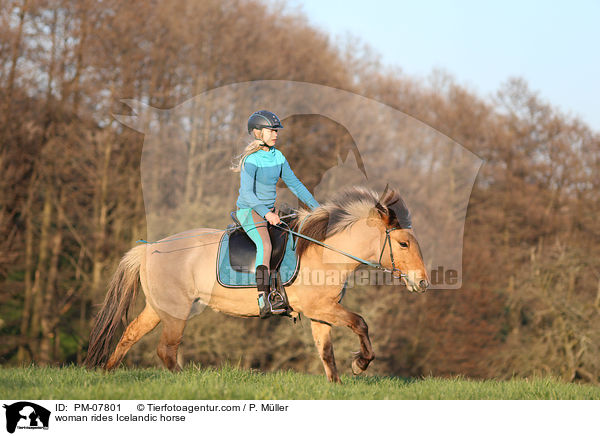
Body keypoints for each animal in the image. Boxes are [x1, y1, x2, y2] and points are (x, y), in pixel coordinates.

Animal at [85, 186, 432, 384]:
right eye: (403, 243)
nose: (423, 282)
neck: (325, 252)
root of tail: (149, 248)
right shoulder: (323, 308)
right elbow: (361, 323)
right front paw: (360, 365)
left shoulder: (321, 313)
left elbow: (326, 353)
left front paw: (338, 384)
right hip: (176, 311)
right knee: (166, 350)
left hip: (159, 308)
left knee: (130, 335)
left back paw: (105, 373)